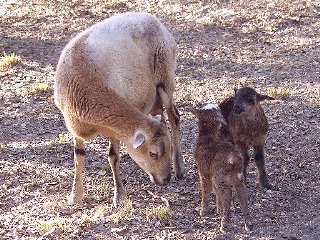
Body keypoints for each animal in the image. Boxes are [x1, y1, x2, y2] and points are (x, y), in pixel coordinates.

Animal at [53, 12, 186, 206]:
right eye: (153, 153)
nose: (166, 179)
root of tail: (154, 20)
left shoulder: (113, 126)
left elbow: (113, 156)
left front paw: (119, 196)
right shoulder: (74, 125)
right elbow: (78, 156)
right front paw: (75, 195)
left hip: (166, 79)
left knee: (174, 117)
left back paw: (180, 168)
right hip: (153, 95)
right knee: (161, 115)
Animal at [190, 104, 252, 232]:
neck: (207, 136)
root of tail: (234, 159)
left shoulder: (204, 172)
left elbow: (206, 190)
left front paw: (203, 211)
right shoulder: (212, 174)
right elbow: (215, 190)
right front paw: (218, 209)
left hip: (221, 177)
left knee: (227, 194)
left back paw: (224, 224)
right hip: (237, 177)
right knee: (242, 195)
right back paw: (248, 224)